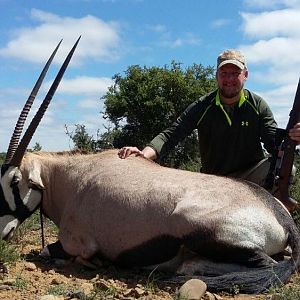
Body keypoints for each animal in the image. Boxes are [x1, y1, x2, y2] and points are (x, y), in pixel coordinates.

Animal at [0, 39, 298, 292]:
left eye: (15, 181)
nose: (3, 231)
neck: (72, 178)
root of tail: (281, 215)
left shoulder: (79, 243)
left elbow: (50, 251)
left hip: (196, 226)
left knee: (268, 265)